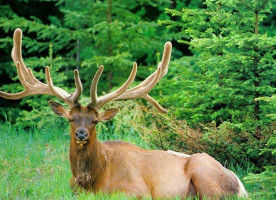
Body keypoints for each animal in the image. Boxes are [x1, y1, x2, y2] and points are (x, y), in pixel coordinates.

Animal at [0, 28, 248, 199]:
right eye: (71, 119)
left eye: (95, 121)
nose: (81, 134)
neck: (90, 180)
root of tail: (240, 184)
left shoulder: (137, 190)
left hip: (203, 172)